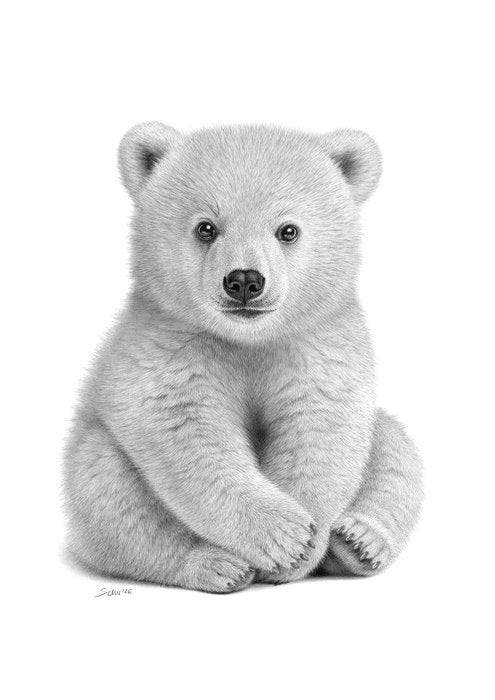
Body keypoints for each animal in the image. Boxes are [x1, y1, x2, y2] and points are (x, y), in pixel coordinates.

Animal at [63, 122, 423, 592]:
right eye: (206, 227)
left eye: (288, 230)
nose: (245, 281)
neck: (247, 340)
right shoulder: (168, 343)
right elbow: (187, 432)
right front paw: (287, 536)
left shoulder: (316, 343)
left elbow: (320, 427)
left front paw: (305, 546)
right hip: (96, 453)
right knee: (107, 493)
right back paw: (215, 565)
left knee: (393, 448)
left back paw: (358, 541)